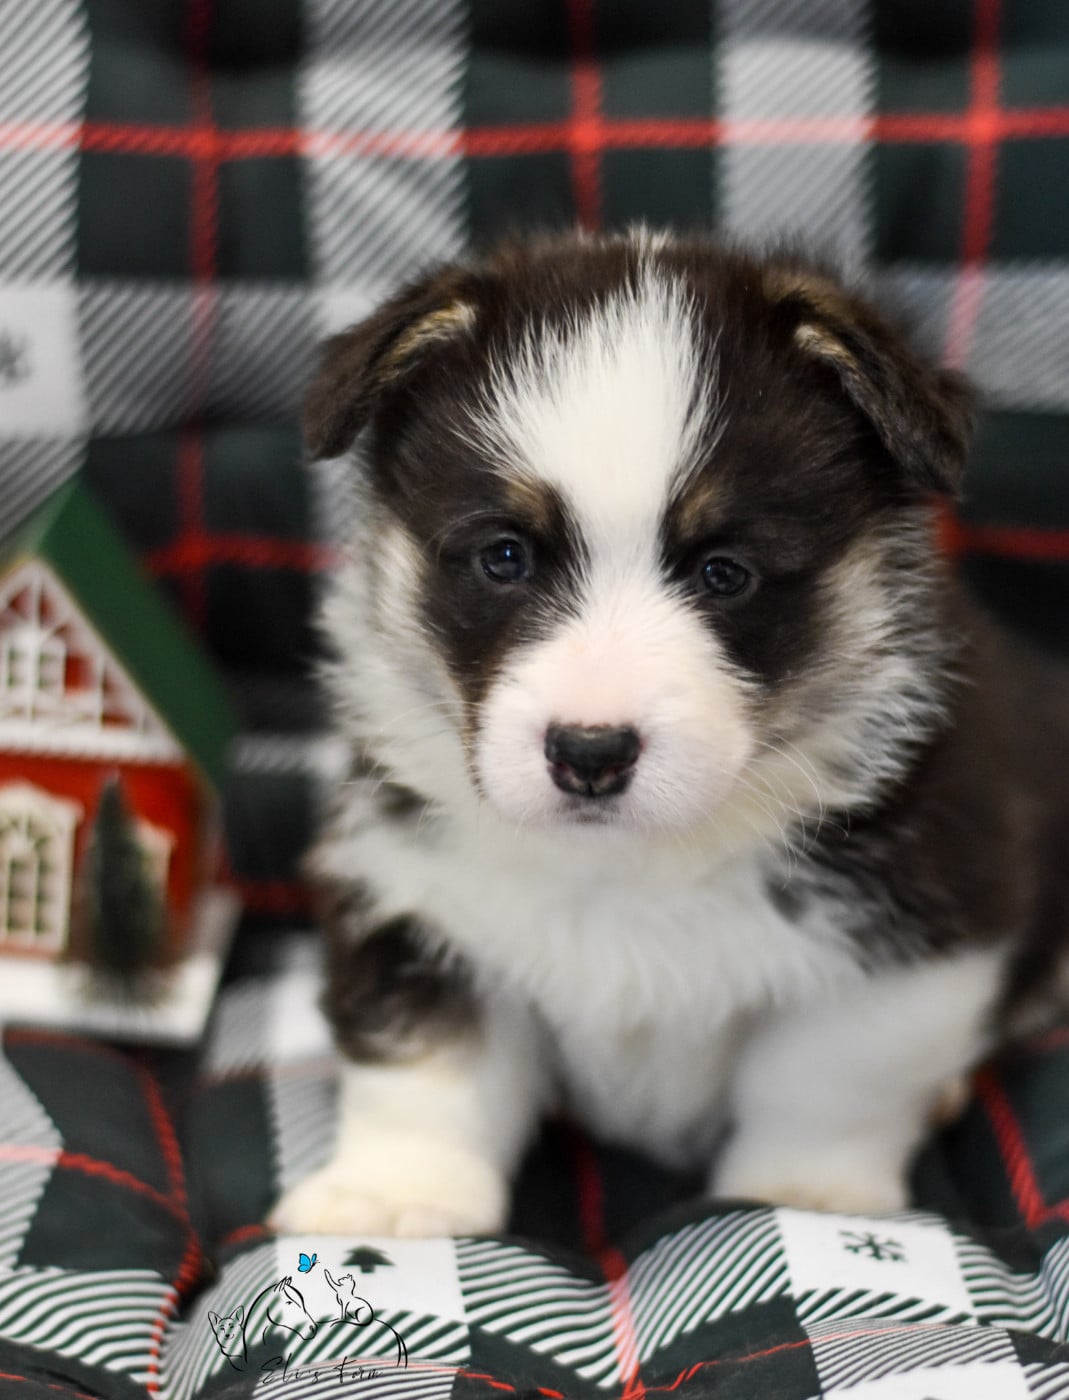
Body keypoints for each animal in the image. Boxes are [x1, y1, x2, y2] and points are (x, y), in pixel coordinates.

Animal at [270, 229, 1069, 1236]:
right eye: (503, 555)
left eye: (724, 572)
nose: (589, 755)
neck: (627, 863)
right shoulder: (408, 893)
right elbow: (425, 1064)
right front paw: (395, 1194)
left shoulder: (915, 934)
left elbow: (826, 1083)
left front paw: (803, 1194)